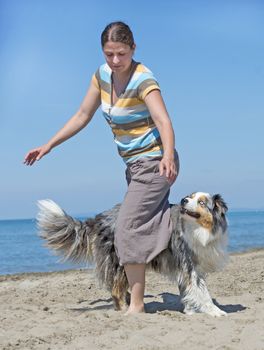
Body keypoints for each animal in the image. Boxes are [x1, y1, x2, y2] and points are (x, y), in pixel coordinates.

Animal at [37, 191, 229, 318]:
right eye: (190, 196)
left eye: (202, 202)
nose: (183, 200)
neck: (198, 229)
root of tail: (99, 218)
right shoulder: (188, 265)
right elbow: (202, 292)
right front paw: (216, 311)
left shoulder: (190, 266)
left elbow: (190, 289)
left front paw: (190, 310)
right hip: (119, 261)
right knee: (115, 290)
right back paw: (125, 311)